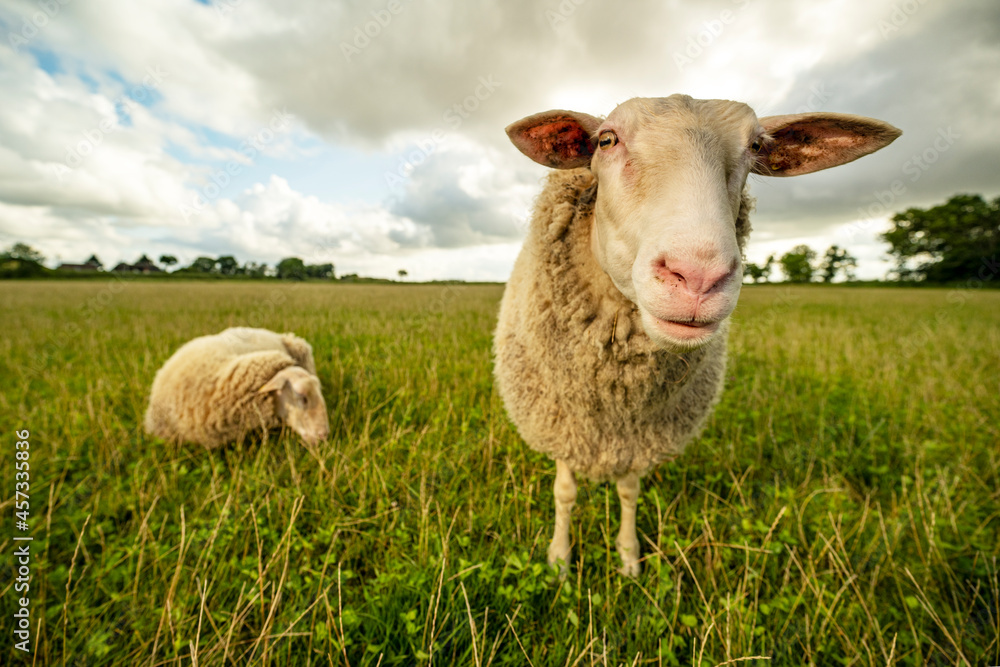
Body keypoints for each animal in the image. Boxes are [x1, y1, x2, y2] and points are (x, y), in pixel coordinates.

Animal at [494, 95, 901, 576]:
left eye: (756, 146)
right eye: (607, 140)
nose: (698, 276)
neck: (616, 401)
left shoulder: (640, 437)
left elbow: (629, 492)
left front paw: (629, 557)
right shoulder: (560, 423)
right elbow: (565, 492)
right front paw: (559, 560)